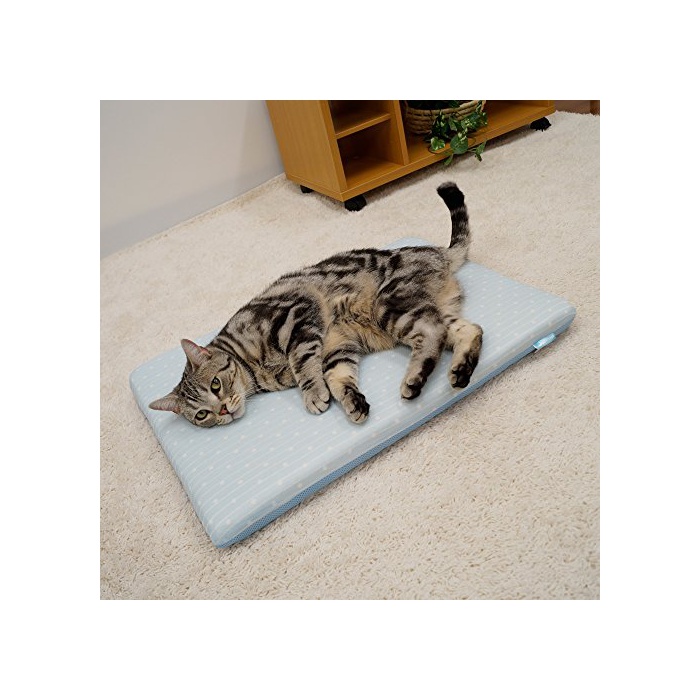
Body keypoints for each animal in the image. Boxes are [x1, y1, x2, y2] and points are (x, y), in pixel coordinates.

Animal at [149, 182, 483, 428]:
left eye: (216, 386)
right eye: (201, 414)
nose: (222, 412)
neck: (256, 371)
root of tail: (440, 252)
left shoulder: (295, 316)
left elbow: (302, 365)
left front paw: (313, 395)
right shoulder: (337, 347)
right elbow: (339, 378)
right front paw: (352, 402)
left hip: (389, 305)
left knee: (433, 332)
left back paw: (415, 379)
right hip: (426, 310)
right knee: (471, 330)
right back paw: (460, 370)